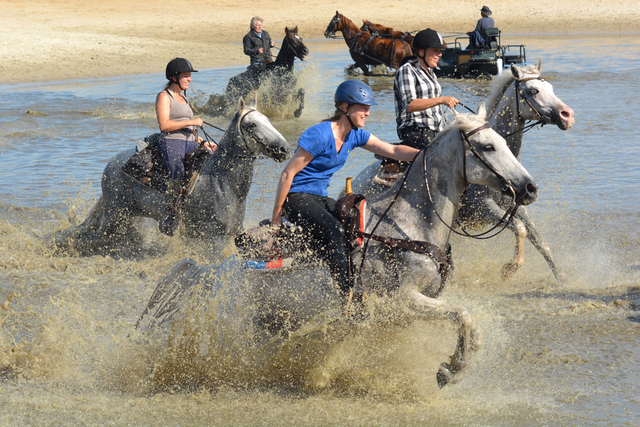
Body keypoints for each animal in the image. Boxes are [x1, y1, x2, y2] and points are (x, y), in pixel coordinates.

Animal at [56, 97, 292, 258]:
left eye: (268, 120)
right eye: (251, 125)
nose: (284, 148)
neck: (221, 181)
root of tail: (112, 164)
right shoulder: (214, 239)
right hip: (114, 216)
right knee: (95, 237)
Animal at [136, 106, 540, 388]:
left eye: (505, 143)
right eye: (487, 146)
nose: (529, 187)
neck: (408, 224)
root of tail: (213, 272)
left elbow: (466, 323)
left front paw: (450, 367)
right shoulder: (402, 300)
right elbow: (464, 316)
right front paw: (450, 369)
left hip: (270, 322)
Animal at [350, 58, 576, 282]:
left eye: (550, 87)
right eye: (533, 90)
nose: (568, 115)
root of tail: (357, 180)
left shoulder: (515, 205)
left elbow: (538, 239)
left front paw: (561, 276)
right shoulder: (482, 207)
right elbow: (520, 230)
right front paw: (509, 269)